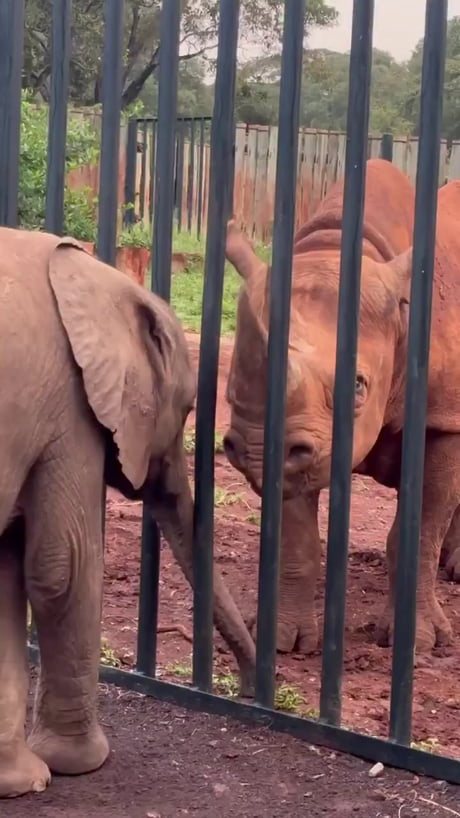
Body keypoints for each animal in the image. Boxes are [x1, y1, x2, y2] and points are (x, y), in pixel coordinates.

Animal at [223, 157, 460, 655]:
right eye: (233, 385)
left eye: (357, 385)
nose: (253, 452)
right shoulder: (299, 438)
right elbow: (297, 540)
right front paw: (284, 639)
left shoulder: (444, 417)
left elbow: (420, 533)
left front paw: (419, 642)